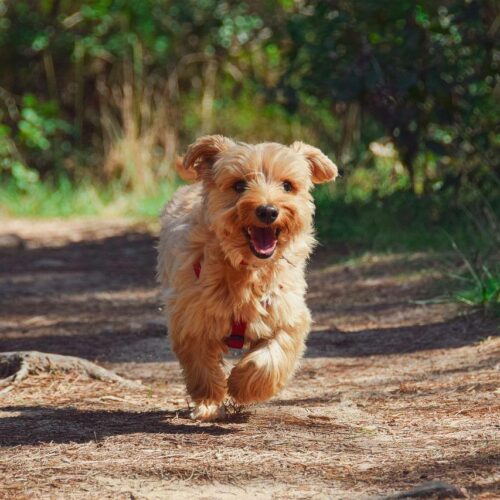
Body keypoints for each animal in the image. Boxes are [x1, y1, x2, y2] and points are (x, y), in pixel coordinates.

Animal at [158, 135, 338, 420]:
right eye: (239, 185)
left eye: (287, 185)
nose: (268, 211)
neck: (248, 270)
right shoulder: (191, 317)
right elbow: (201, 364)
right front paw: (209, 399)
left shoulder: (287, 314)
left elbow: (271, 357)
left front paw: (242, 385)